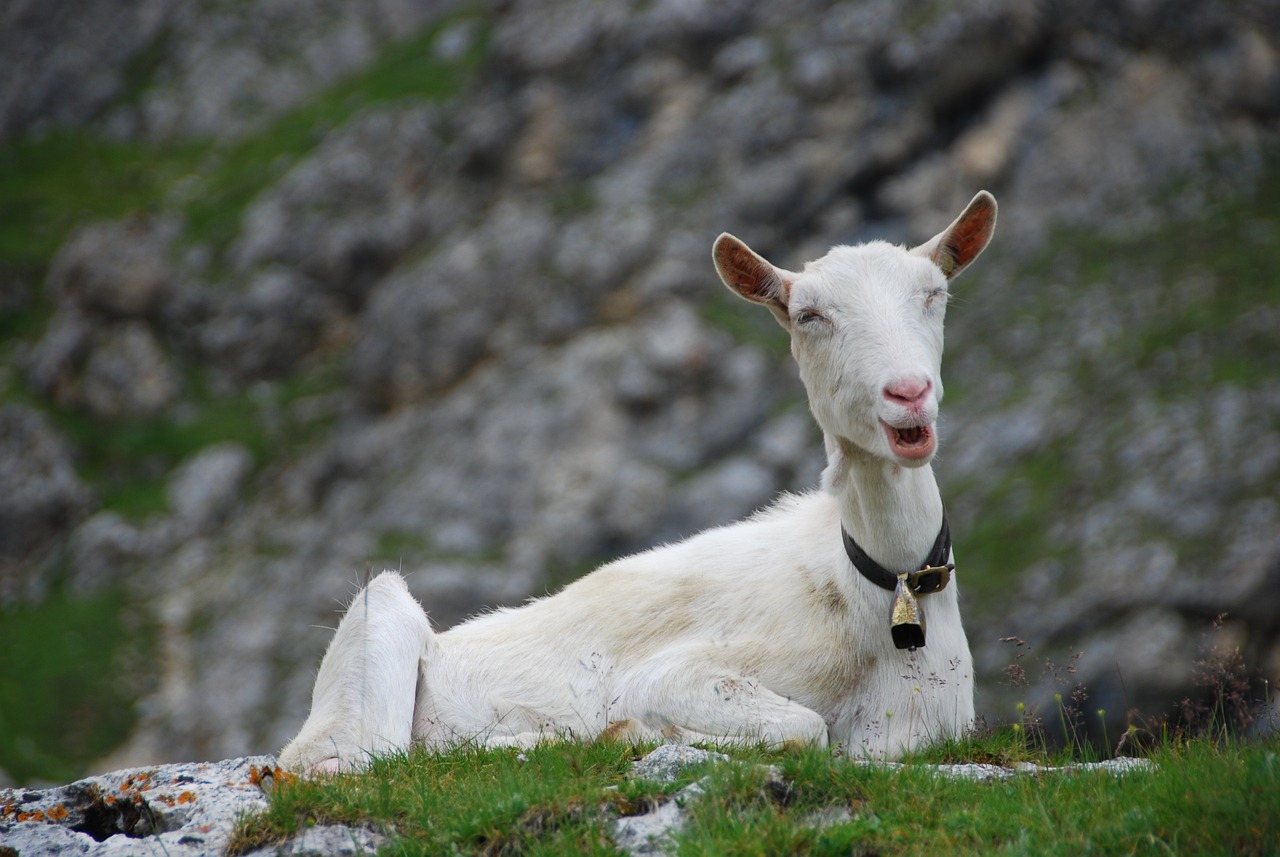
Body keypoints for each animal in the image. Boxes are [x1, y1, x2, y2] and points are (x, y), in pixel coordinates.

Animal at [280, 191, 998, 777]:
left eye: (934, 294)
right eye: (808, 314)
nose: (908, 393)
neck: (878, 590)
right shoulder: (673, 673)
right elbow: (805, 727)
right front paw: (632, 731)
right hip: (377, 619)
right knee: (361, 761)